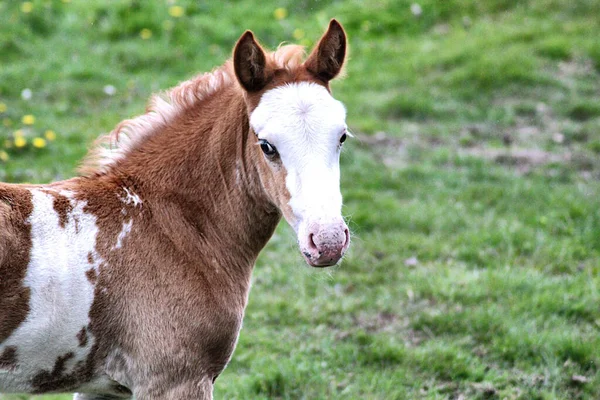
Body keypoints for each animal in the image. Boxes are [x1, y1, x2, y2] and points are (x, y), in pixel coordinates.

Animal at [0, 20, 352, 398]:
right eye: (267, 145)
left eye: (342, 136)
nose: (328, 240)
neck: (168, 224)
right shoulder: (175, 379)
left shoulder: (102, 387)